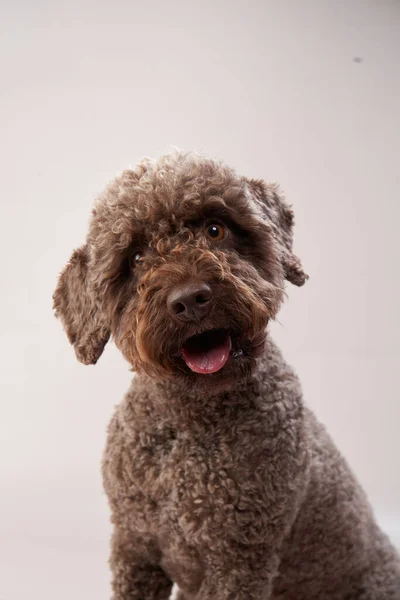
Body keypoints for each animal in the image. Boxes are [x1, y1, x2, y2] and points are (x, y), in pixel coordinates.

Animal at [53, 149, 400, 596]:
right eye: (136, 258)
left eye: (215, 230)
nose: (189, 299)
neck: (190, 428)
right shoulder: (133, 546)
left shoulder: (238, 561)